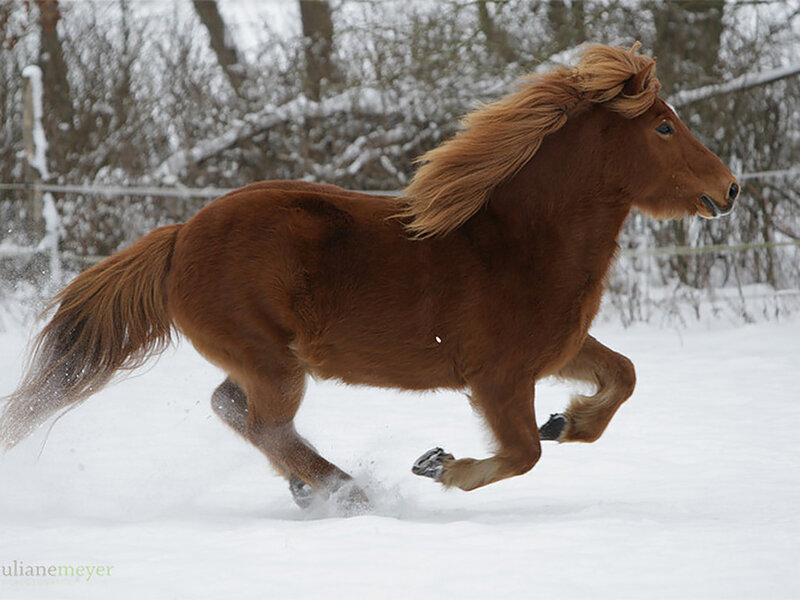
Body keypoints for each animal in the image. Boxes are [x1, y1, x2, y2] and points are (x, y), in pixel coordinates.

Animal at [0, 43, 738, 510]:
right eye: (664, 128)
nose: (729, 189)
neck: (523, 241)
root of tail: (180, 236)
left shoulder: (556, 351)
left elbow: (623, 376)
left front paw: (569, 421)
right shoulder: (498, 378)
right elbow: (523, 453)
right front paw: (440, 466)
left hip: (263, 361)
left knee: (232, 407)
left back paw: (316, 489)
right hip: (273, 361)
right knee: (264, 424)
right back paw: (350, 491)